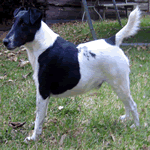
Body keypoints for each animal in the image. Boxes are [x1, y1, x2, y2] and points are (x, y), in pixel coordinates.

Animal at [2, 6, 141, 142]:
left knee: (132, 105)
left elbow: (38, 118)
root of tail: (112, 41)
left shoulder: (42, 92)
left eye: (24, 24)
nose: (4, 41)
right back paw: (126, 119)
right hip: (119, 86)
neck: (42, 46)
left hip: (120, 85)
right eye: (14, 22)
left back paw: (136, 126)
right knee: (127, 104)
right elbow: (41, 117)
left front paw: (34, 138)